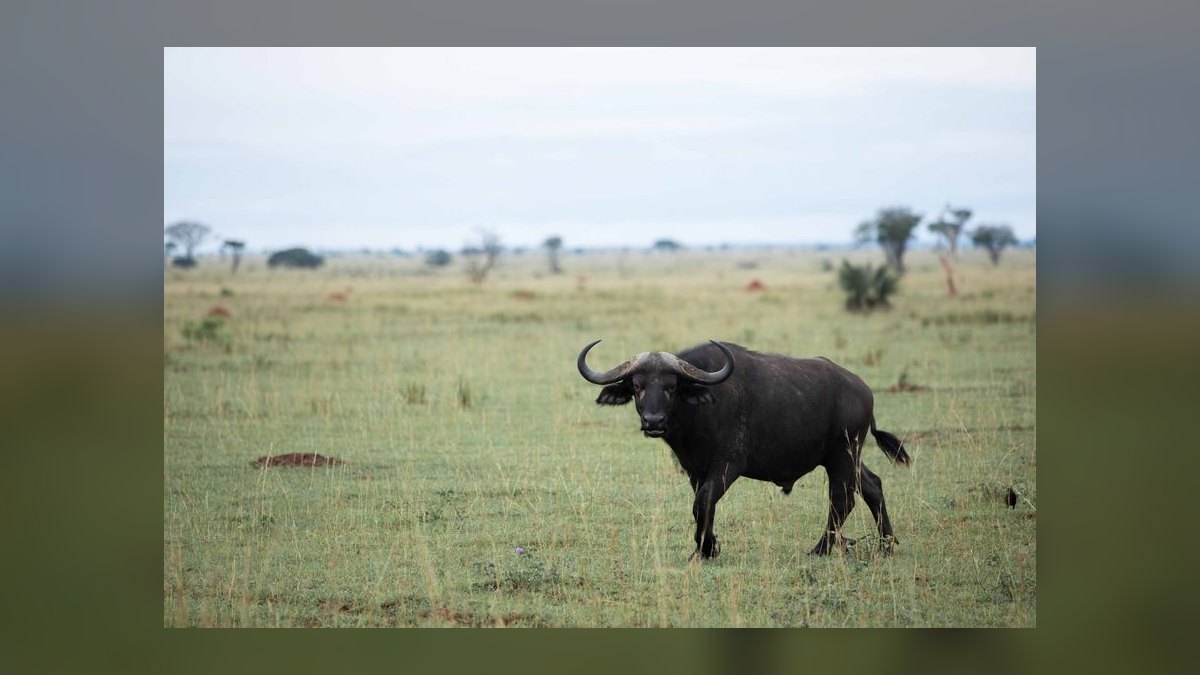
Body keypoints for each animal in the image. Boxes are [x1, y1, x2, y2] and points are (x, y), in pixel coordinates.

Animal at [577, 339, 910, 560]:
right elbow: (703, 504)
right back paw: (887, 544)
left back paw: (821, 549)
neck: (697, 413)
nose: (653, 421)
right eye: (637, 386)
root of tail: (862, 389)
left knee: (842, 499)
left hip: (843, 454)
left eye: (671, 386)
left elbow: (703, 502)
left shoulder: (728, 465)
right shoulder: (695, 469)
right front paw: (708, 547)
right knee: (872, 486)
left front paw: (705, 550)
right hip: (845, 457)